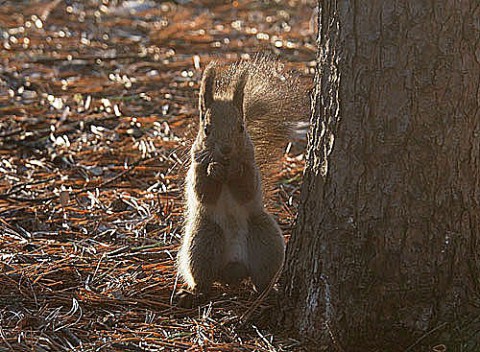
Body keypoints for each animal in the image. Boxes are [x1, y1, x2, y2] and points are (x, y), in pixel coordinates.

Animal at [176, 55, 308, 300]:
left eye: (241, 127)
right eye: (206, 129)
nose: (226, 150)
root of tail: (233, 269)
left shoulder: (251, 167)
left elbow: (246, 188)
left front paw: (236, 170)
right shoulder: (195, 167)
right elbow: (203, 191)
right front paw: (214, 170)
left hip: (266, 241)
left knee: (262, 276)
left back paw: (268, 291)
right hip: (203, 241)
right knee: (203, 276)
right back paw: (194, 293)